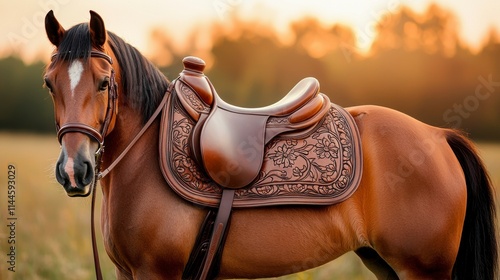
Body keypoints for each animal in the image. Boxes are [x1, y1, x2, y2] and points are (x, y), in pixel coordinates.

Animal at [44, 9, 496, 278]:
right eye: (49, 84)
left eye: (104, 83)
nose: (74, 170)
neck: (144, 158)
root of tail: (438, 136)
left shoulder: (157, 271)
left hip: (423, 269)